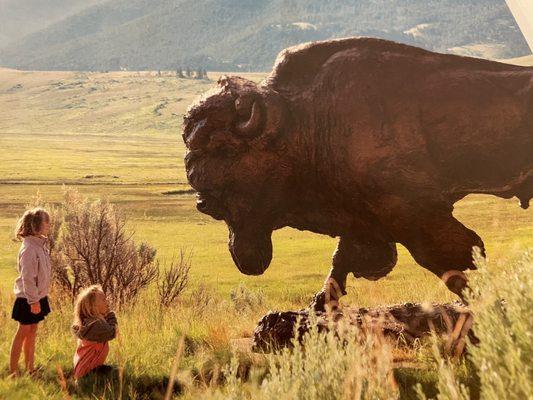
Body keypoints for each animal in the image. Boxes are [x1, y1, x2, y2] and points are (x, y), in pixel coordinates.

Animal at [181, 37, 528, 310]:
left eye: (226, 149)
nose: (201, 196)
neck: (305, 120)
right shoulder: (362, 217)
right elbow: (342, 260)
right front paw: (318, 307)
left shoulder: (413, 213)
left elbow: (452, 260)